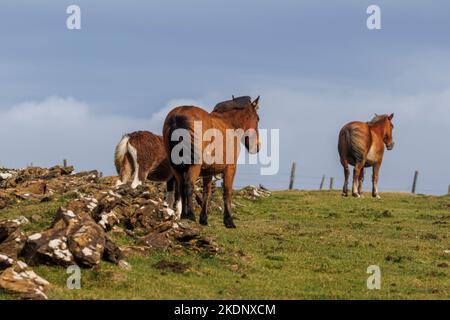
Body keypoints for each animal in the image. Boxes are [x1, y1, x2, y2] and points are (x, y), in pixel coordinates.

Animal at [163, 95, 260, 228]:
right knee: (188, 185)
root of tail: (178, 115)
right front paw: (229, 220)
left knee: (181, 186)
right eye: (258, 119)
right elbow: (227, 191)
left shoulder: (208, 172)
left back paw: (183, 215)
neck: (229, 123)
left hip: (176, 167)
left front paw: (203, 219)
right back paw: (190, 215)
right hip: (194, 166)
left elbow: (206, 193)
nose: (257, 147)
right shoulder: (230, 168)